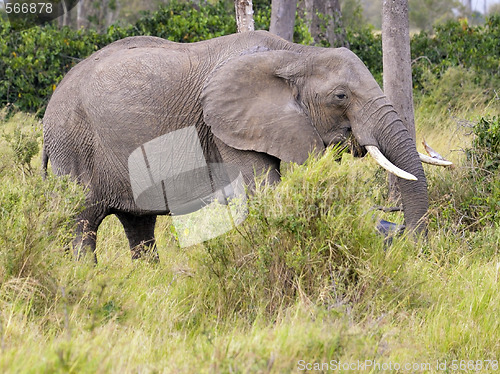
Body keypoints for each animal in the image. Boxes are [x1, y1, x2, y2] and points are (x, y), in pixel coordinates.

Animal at [42, 30, 450, 262]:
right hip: (73, 146)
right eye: (340, 96)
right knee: (82, 221)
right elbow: (263, 190)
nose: (405, 244)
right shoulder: (224, 128)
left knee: (139, 226)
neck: (295, 53)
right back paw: (83, 276)